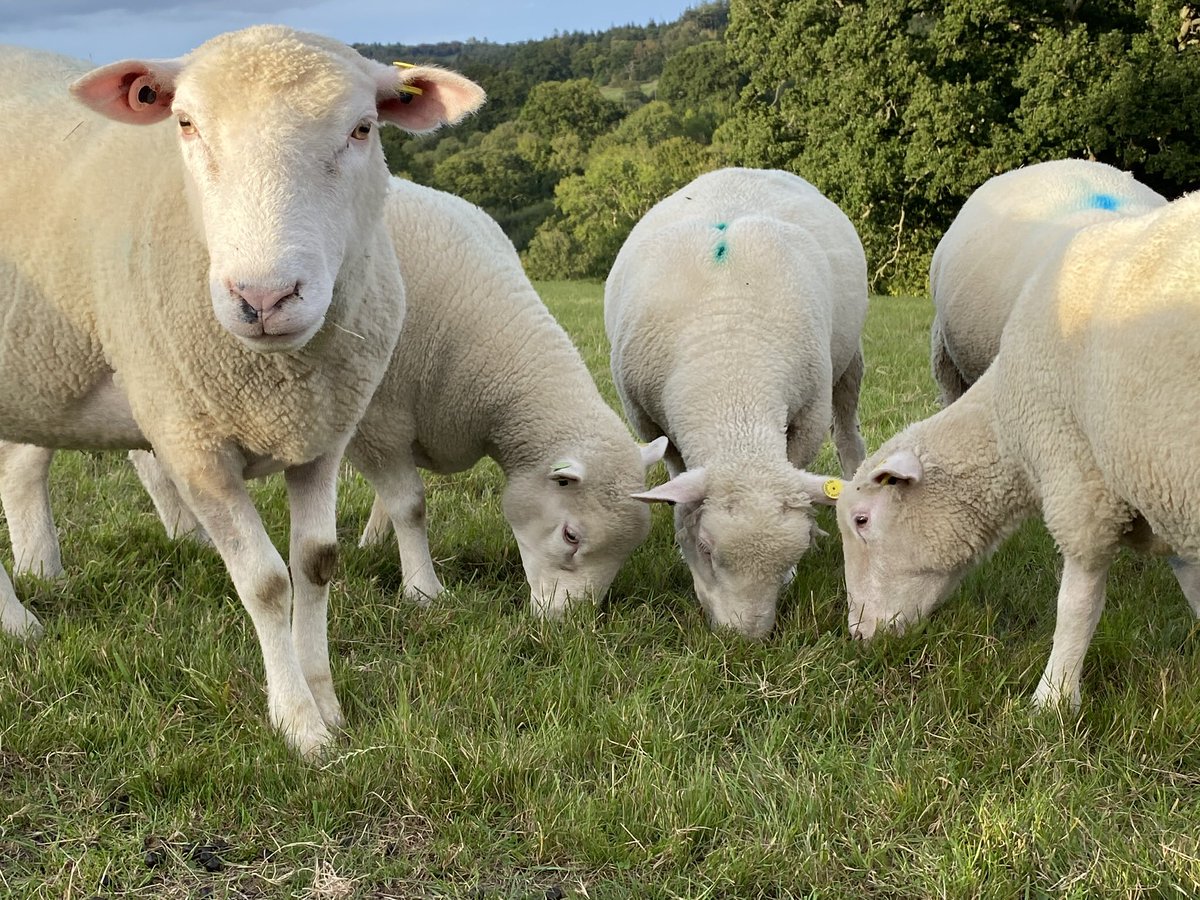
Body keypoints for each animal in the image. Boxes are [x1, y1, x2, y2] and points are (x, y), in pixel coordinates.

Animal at [0, 29, 484, 756]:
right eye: (185, 124)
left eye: (363, 127)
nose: (265, 297)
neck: (275, 376)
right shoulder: (192, 443)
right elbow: (264, 581)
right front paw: (300, 725)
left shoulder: (323, 431)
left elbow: (314, 564)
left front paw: (326, 700)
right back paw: (17, 619)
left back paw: (32, 591)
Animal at [604, 167, 867, 638]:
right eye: (707, 549)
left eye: (792, 558)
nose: (745, 639)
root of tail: (744, 170)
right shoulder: (651, 423)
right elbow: (679, 483)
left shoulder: (807, 417)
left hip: (848, 360)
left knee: (848, 431)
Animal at [837, 187, 1200, 710]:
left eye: (862, 520)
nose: (859, 635)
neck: (1005, 428)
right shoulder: (1160, 490)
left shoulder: (1080, 481)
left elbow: (1077, 603)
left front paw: (1053, 699)